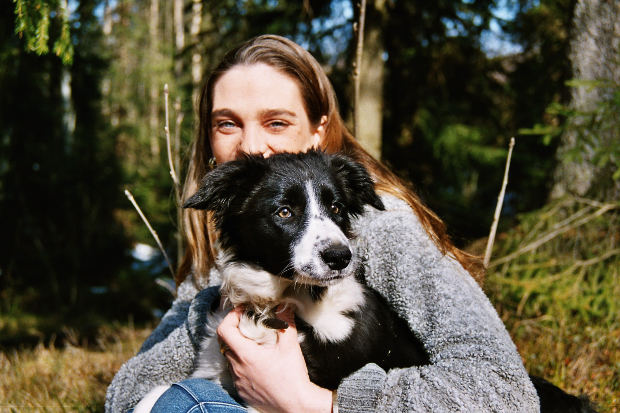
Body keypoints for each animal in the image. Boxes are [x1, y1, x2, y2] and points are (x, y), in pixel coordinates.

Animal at [133, 150, 428, 412]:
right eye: (284, 212)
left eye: (337, 208)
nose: (340, 257)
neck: (277, 302)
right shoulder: (212, 366)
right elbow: (158, 392)